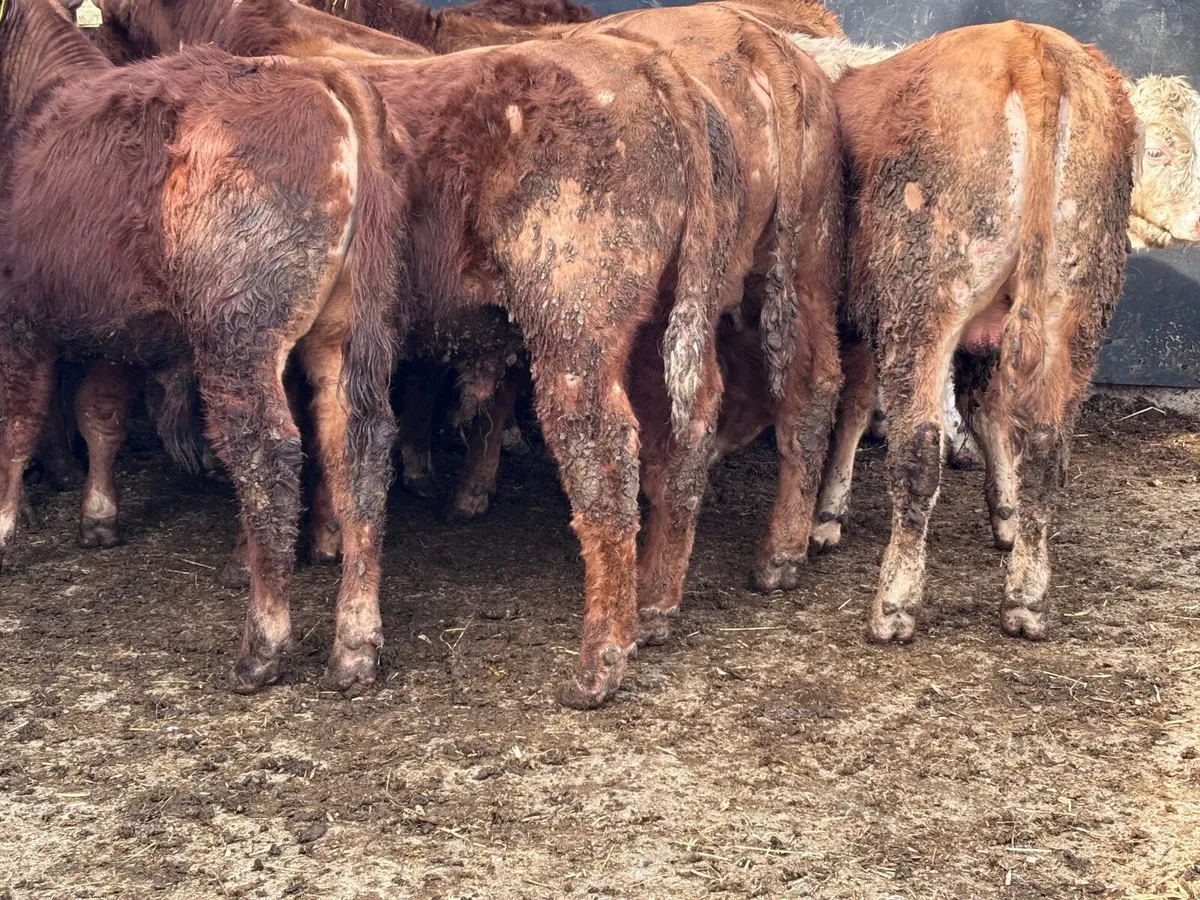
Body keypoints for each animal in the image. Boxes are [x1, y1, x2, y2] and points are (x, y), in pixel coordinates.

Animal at [0, 0, 407, 692]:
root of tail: (318, 76)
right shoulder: (116, 328)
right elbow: (99, 413)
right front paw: (98, 516)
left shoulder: (18, 315)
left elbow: (16, 426)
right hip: (346, 332)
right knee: (359, 448)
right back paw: (355, 646)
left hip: (236, 332)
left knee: (267, 454)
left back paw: (263, 647)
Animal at [96, 0, 748, 708]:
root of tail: (647, 64)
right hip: (665, 325)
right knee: (686, 432)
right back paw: (654, 611)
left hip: (575, 324)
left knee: (603, 456)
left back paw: (599, 661)